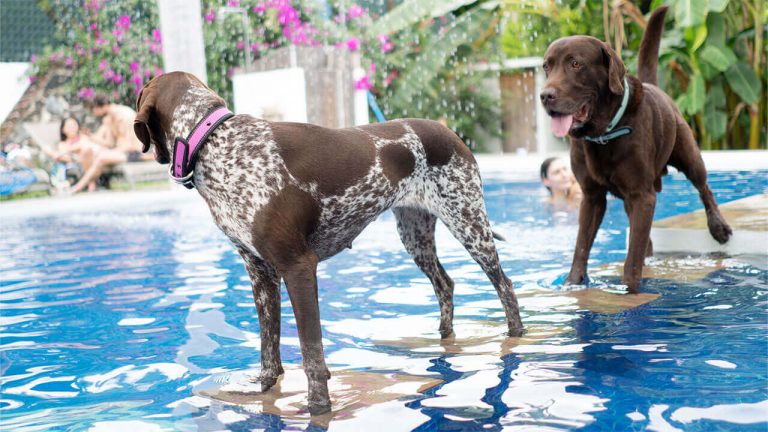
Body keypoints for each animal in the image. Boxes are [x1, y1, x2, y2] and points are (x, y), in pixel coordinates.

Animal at [135, 71, 524, 416]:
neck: (214, 142)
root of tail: (449, 131)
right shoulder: (261, 275)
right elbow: (269, 352)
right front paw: (265, 392)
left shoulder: (298, 267)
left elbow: (312, 354)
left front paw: (318, 408)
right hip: (415, 234)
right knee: (445, 284)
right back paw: (445, 338)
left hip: (468, 223)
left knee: (504, 285)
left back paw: (515, 336)